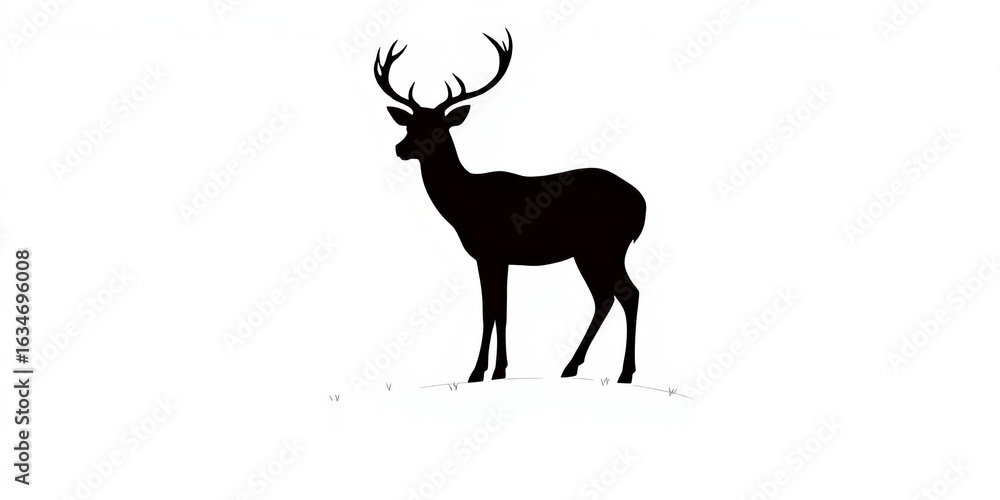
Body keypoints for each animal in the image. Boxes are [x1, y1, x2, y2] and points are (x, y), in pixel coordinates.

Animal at [374, 30, 647, 384]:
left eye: (439, 127)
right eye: (409, 125)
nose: (400, 148)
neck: (466, 205)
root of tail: (642, 205)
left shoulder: (493, 251)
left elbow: (492, 311)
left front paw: (480, 371)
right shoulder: (494, 257)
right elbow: (497, 310)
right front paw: (497, 370)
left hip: (606, 245)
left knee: (629, 294)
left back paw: (624, 373)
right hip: (589, 252)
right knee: (606, 297)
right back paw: (572, 367)